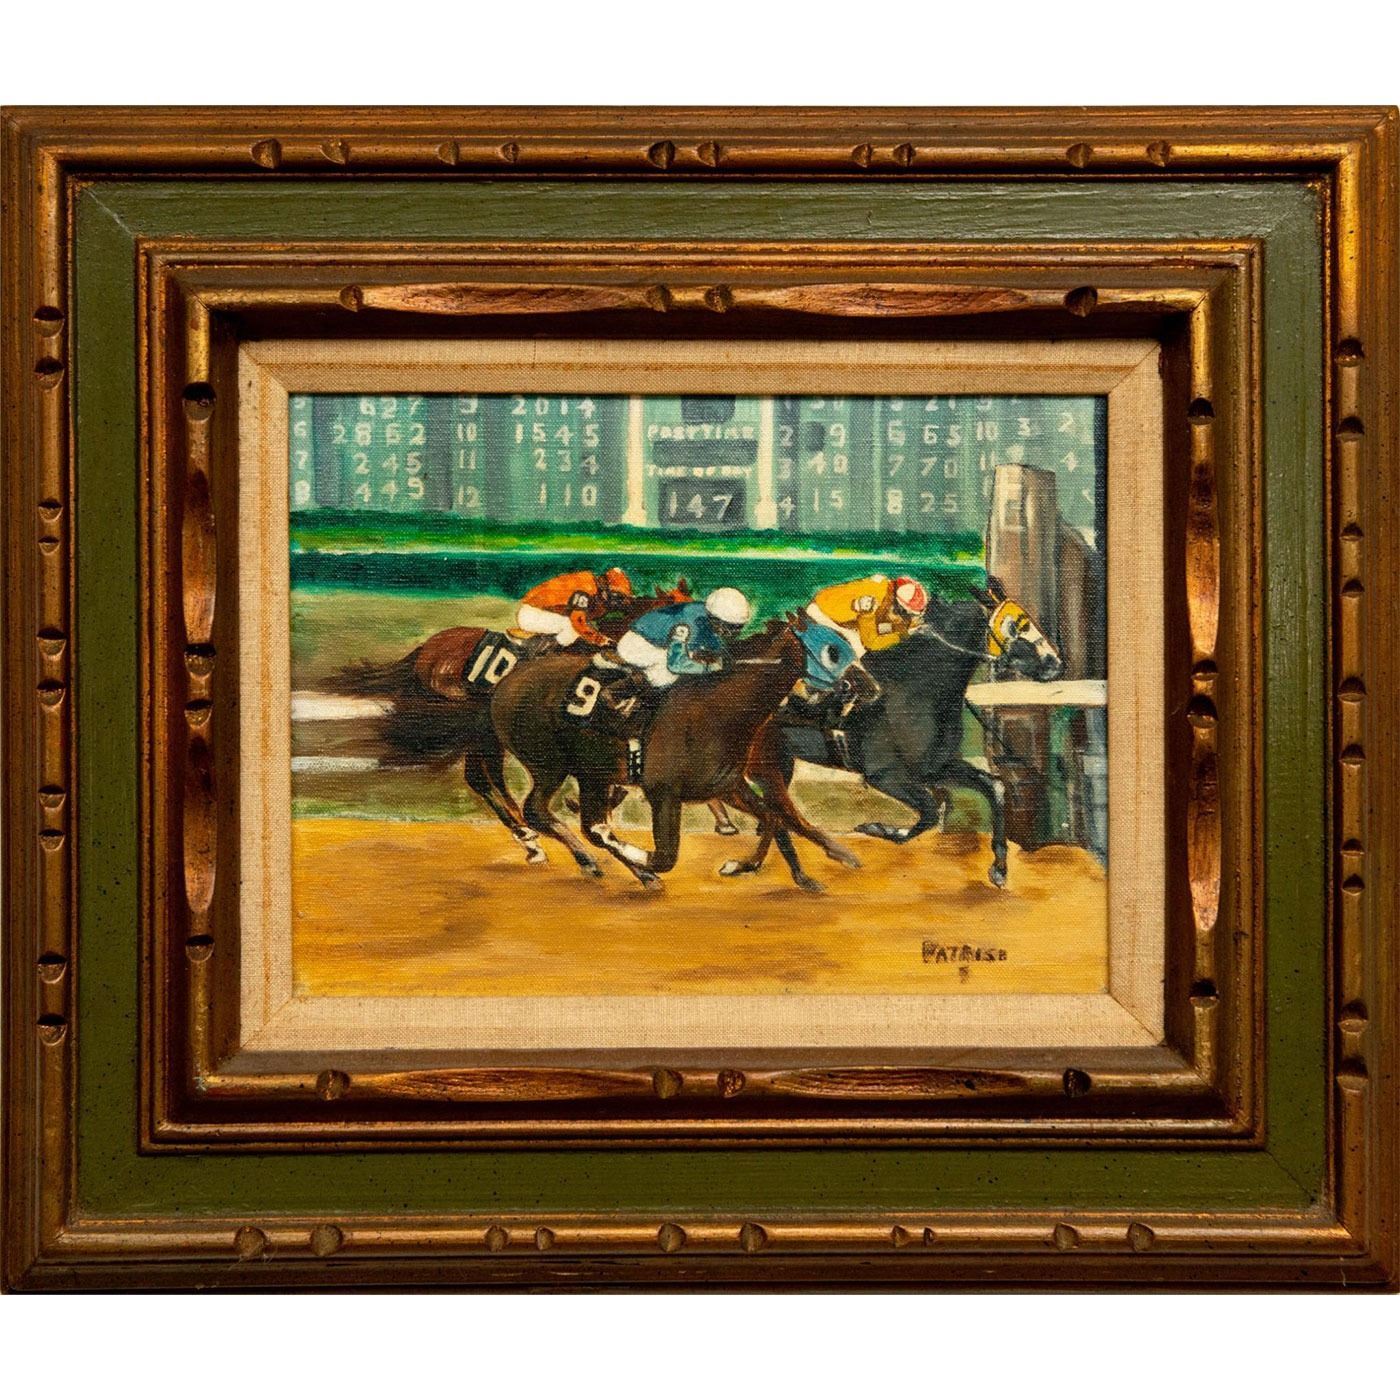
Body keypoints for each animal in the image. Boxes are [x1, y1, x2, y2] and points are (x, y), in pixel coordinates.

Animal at [333, 580, 697, 862]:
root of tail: (424, 650)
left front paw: (593, 805)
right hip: (481, 729)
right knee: (482, 779)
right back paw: (529, 834)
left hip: (485, 733)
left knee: (485, 778)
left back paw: (529, 836)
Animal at [488, 614, 863, 890]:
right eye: (833, 650)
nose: (868, 686)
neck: (720, 709)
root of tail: (506, 682)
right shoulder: (664, 793)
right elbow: (665, 855)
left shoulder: (728, 786)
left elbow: (774, 819)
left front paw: (762, 869)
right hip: (549, 765)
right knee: (541, 812)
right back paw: (601, 861)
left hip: (593, 773)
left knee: (582, 822)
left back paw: (618, 868)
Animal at [733, 576, 1063, 889]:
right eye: (1016, 625)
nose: (1055, 664)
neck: (915, 687)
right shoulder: (884, 774)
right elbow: (929, 810)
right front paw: (877, 828)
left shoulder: (935, 767)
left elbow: (993, 787)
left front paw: (999, 868)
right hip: (765, 761)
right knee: (776, 810)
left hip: (780, 760)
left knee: (774, 811)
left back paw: (761, 866)